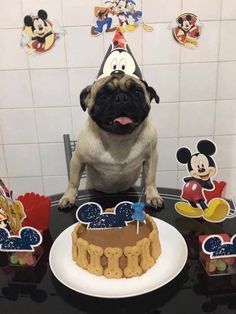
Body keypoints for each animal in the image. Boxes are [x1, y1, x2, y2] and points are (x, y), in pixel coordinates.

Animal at [58, 71, 163, 209]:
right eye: (103, 95)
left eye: (137, 92)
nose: (121, 98)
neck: (119, 139)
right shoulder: (77, 159)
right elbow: (73, 181)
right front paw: (68, 197)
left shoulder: (151, 156)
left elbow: (150, 178)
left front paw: (153, 196)